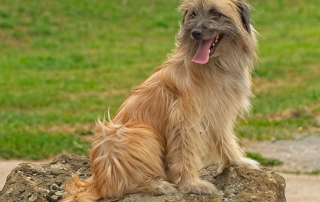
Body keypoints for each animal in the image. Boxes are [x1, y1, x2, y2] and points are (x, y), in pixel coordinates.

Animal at [61, 0, 258, 200]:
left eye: (215, 13)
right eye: (193, 13)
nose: (195, 32)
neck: (215, 65)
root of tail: (98, 181)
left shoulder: (219, 112)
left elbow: (225, 139)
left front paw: (237, 161)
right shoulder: (183, 120)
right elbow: (185, 153)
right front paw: (192, 184)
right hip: (138, 133)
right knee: (118, 186)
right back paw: (157, 185)